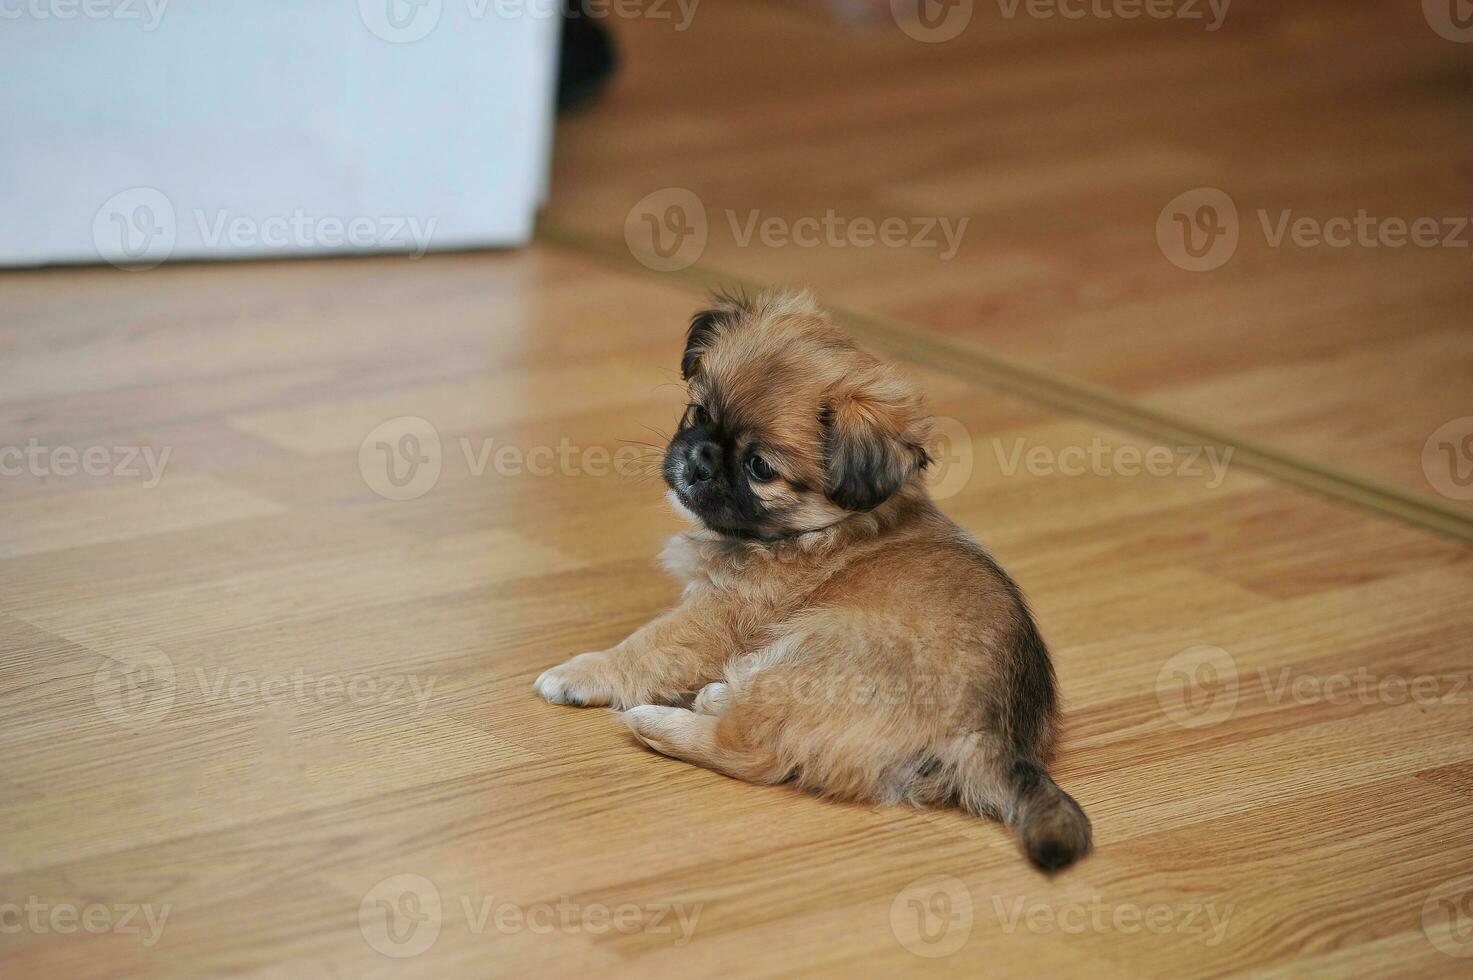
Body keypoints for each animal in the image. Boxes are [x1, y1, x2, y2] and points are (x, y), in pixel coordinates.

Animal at [536, 287, 1090, 866]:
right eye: (698, 412)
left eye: (760, 467)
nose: (699, 461)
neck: (816, 529)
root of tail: (987, 736)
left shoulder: (714, 617)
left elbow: (643, 649)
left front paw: (579, 673)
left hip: (808, 643)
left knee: (750, 749)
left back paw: (657, 722)